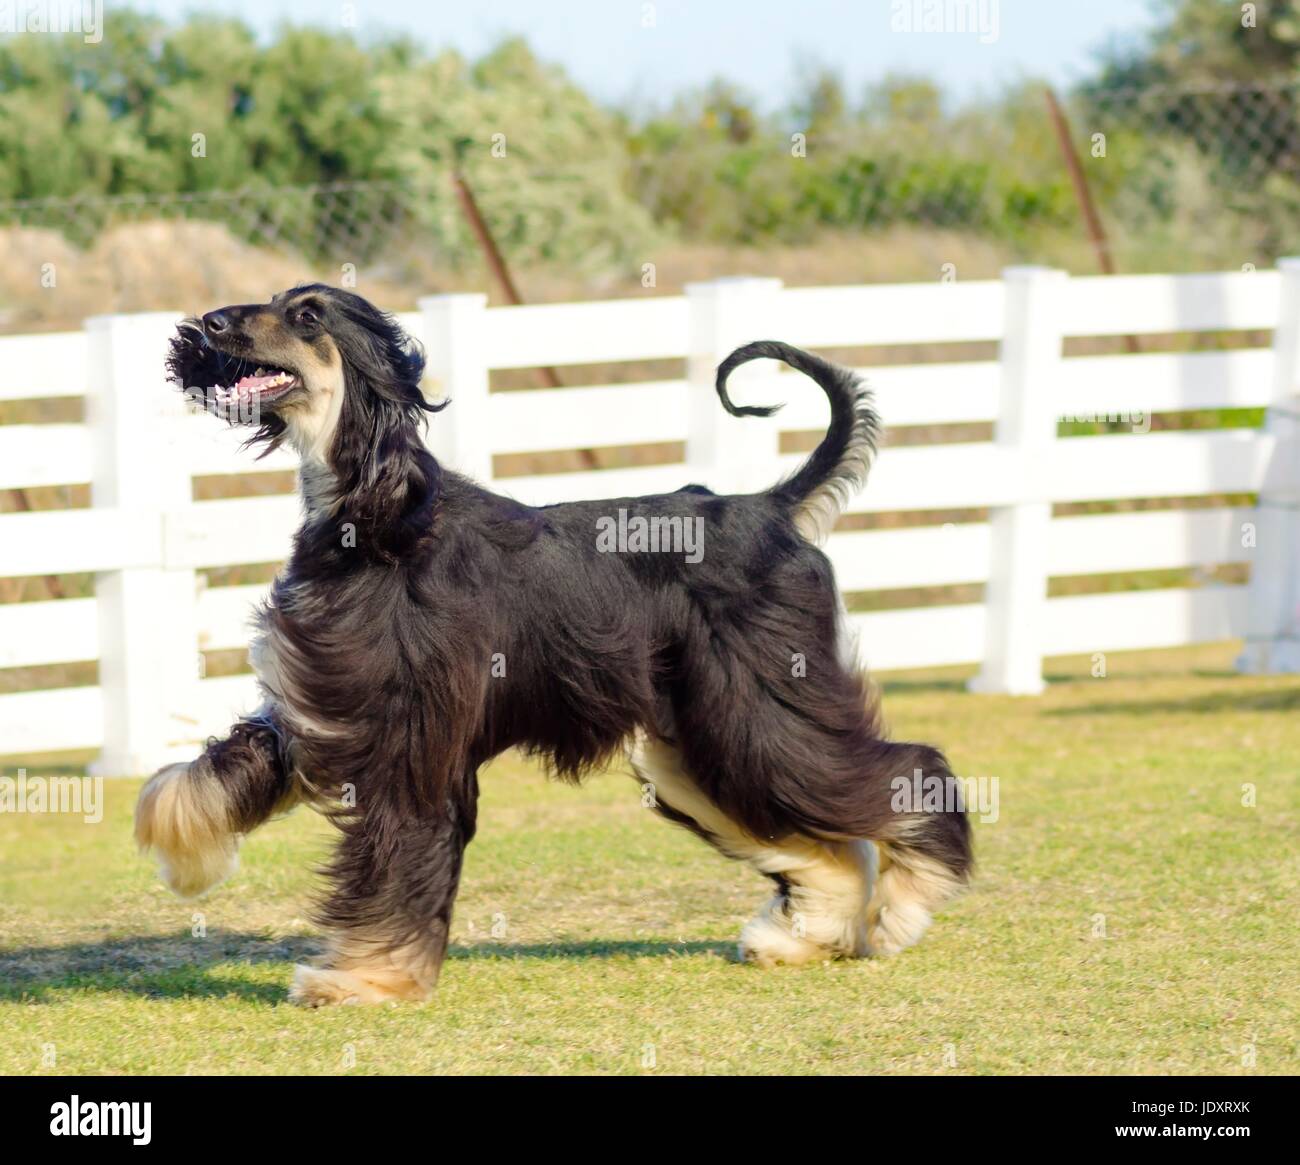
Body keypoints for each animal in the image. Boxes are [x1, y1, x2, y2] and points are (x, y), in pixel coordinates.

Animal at [139, 286, 977, 1003]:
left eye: (308, 315)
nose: (210, 323)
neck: (376, 514)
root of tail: (770, 507)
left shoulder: (409, 736)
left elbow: (402, 848)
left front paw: (368, 977)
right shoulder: (325, 705)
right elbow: (219, 767)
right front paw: (181, 845)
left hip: (758, 705)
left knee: (908, 768)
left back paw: (903, 908)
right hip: (690, 741)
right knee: (818, 832)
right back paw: (807, 935)